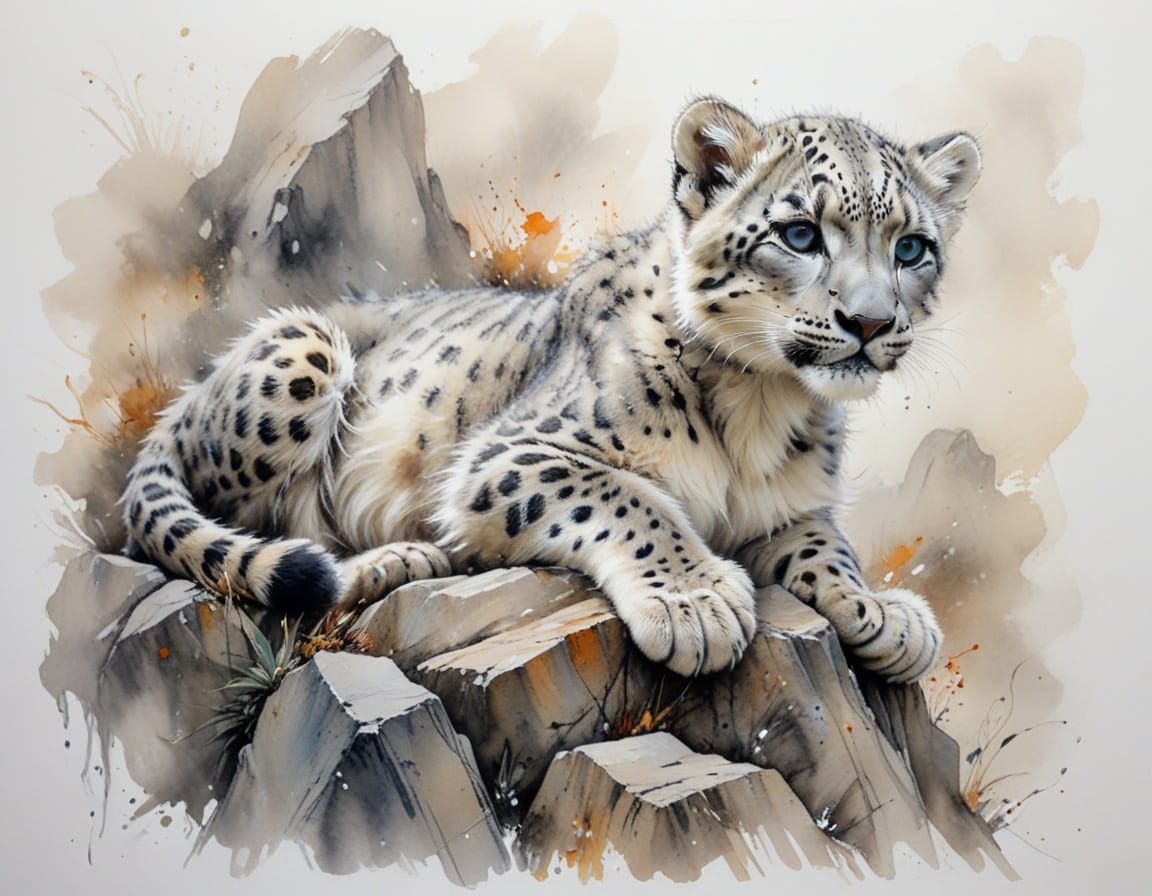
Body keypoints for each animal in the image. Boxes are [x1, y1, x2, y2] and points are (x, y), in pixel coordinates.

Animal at [121, 97, 981, 682]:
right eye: (800, 233)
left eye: (912, 247)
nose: (870, 322)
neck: (764, 404)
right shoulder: (511, 454)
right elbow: (633, 499)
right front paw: (694, 603)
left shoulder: (789, 508)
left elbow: (825, 546)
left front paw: (880, 613)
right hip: (304, 351)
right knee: (234, 537)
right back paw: (385, 558)